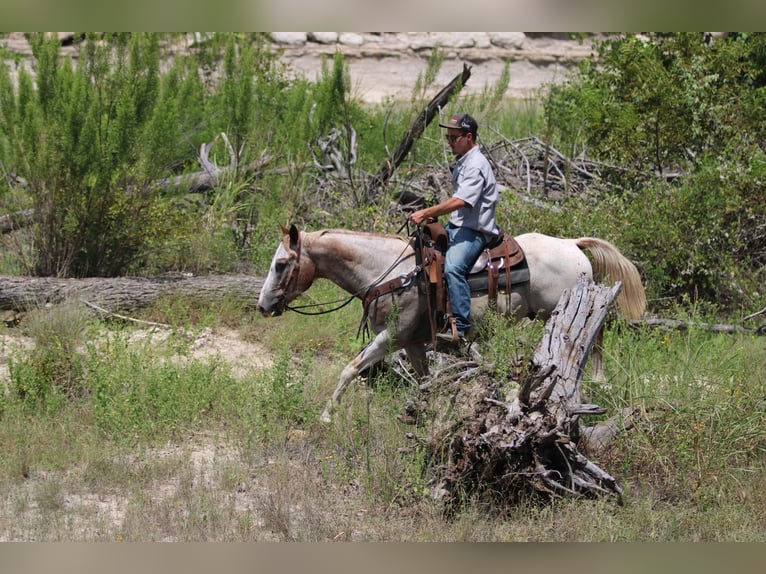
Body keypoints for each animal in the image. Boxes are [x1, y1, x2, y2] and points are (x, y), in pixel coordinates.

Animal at [258, 224, 648, 424]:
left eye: (280, 264)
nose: (263, 306)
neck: (393, 273)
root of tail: (572, 243)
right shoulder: (413, 343)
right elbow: (426, 384)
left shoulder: (391, 337)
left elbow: (351, 368)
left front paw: (326, 415)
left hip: (567, 313)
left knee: (587, 349)